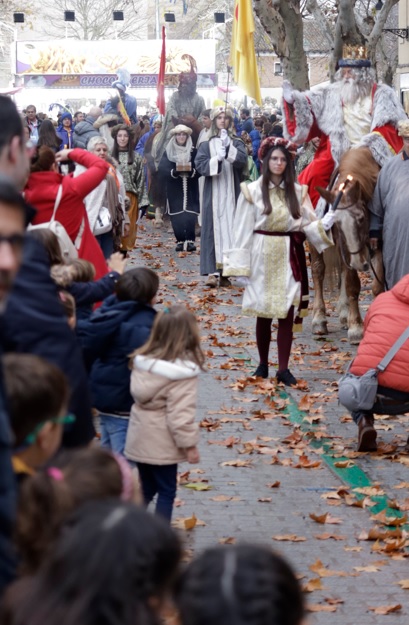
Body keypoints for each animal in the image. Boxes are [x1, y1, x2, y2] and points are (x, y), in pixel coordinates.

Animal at [310, 146, 382, 344]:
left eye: (362, 218)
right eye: (336, 223)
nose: (359, 263)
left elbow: (377, 286)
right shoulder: (347, 247)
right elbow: (352, 285)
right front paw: (356, 327)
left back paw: (343, 313)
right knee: (318, 271)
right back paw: (319, 319)